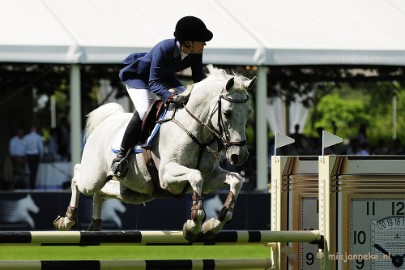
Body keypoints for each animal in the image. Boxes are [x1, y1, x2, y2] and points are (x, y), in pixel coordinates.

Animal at [53, 65, 256, 240]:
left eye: (249, 112)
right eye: (228, 113)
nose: (239, 155)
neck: (196, 131)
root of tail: (106, 121)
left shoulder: (210, 178)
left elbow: (236, 180)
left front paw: (214, 224)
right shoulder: (167, 176)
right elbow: (196, 176)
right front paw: (193, 225)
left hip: (133, 191)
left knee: (102, 192)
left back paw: (95, 224)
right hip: (93, 177)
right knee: (78, 175)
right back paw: (67, 220)